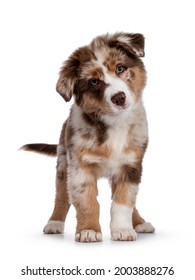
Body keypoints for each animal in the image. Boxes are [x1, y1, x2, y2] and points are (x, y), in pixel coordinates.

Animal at [21, 32, 155, 242]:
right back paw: (54, 223)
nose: (119, 98)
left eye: (120, 68)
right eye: (94, 82)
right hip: (63, 163)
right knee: (61, 196)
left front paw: (123, 229)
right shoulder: (79, 167)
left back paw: (140, 223)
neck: (114, 123)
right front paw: (89, 230)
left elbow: (123, 201)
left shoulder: (131, 166)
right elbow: (87, 201)